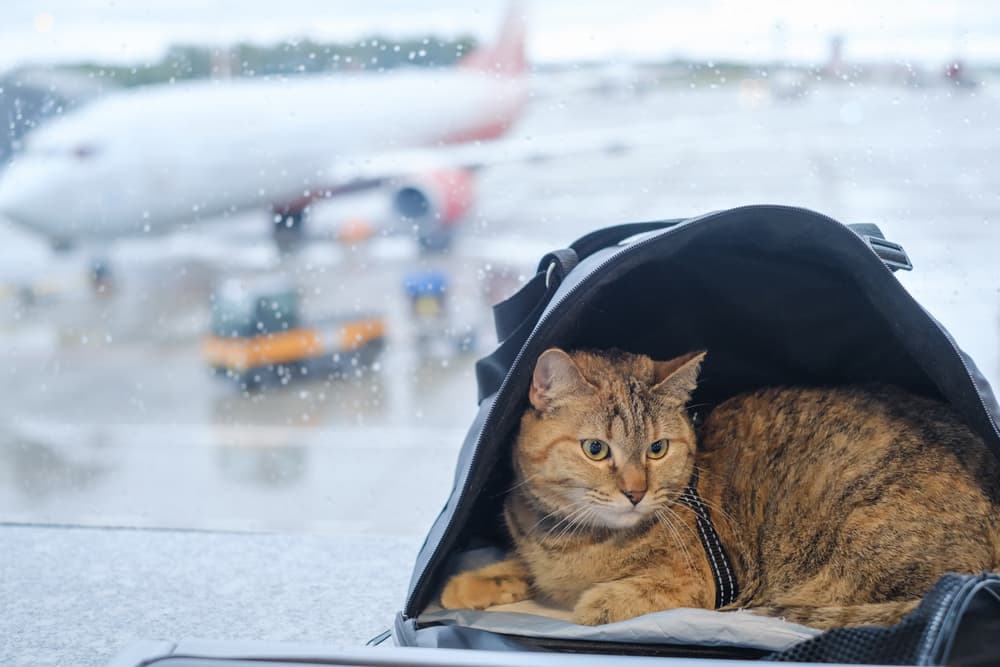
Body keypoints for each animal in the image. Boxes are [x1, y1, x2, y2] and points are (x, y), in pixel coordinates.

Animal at [440, 350, 1000, 632]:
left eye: (658, 448)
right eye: (596, 449)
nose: (635, 492)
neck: (569, 539)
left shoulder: (709, 580)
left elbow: (635, 592)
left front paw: (599, 601)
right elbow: (519, 567)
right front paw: (469, 584)